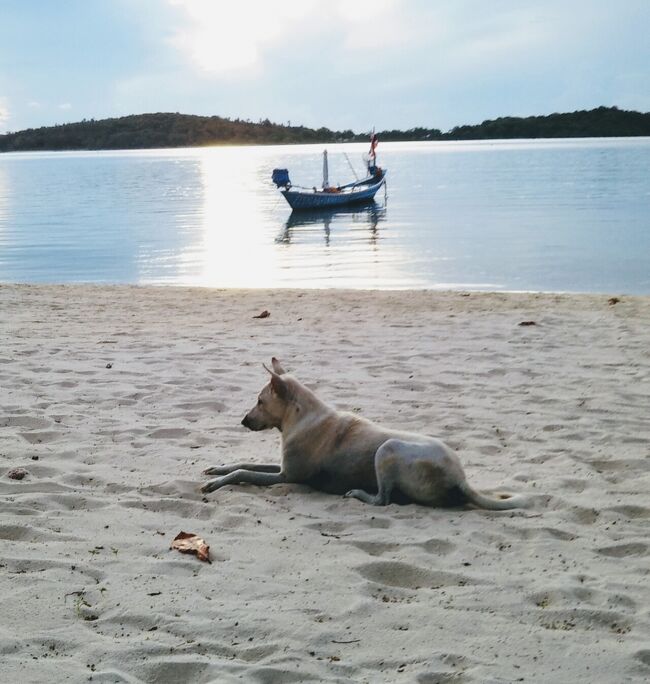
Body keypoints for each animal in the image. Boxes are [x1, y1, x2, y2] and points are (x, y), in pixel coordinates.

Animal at [202, 358, 528, 508]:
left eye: (259, 401)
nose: (243, 421)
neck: (302, 417)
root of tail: (460, 478)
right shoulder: (282, 467)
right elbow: (244, 463)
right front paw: (218, 468)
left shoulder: (287, 476)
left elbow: (244, 472)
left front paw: (217, 483)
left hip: (388, 449)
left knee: (382, 500)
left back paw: (360, 494)